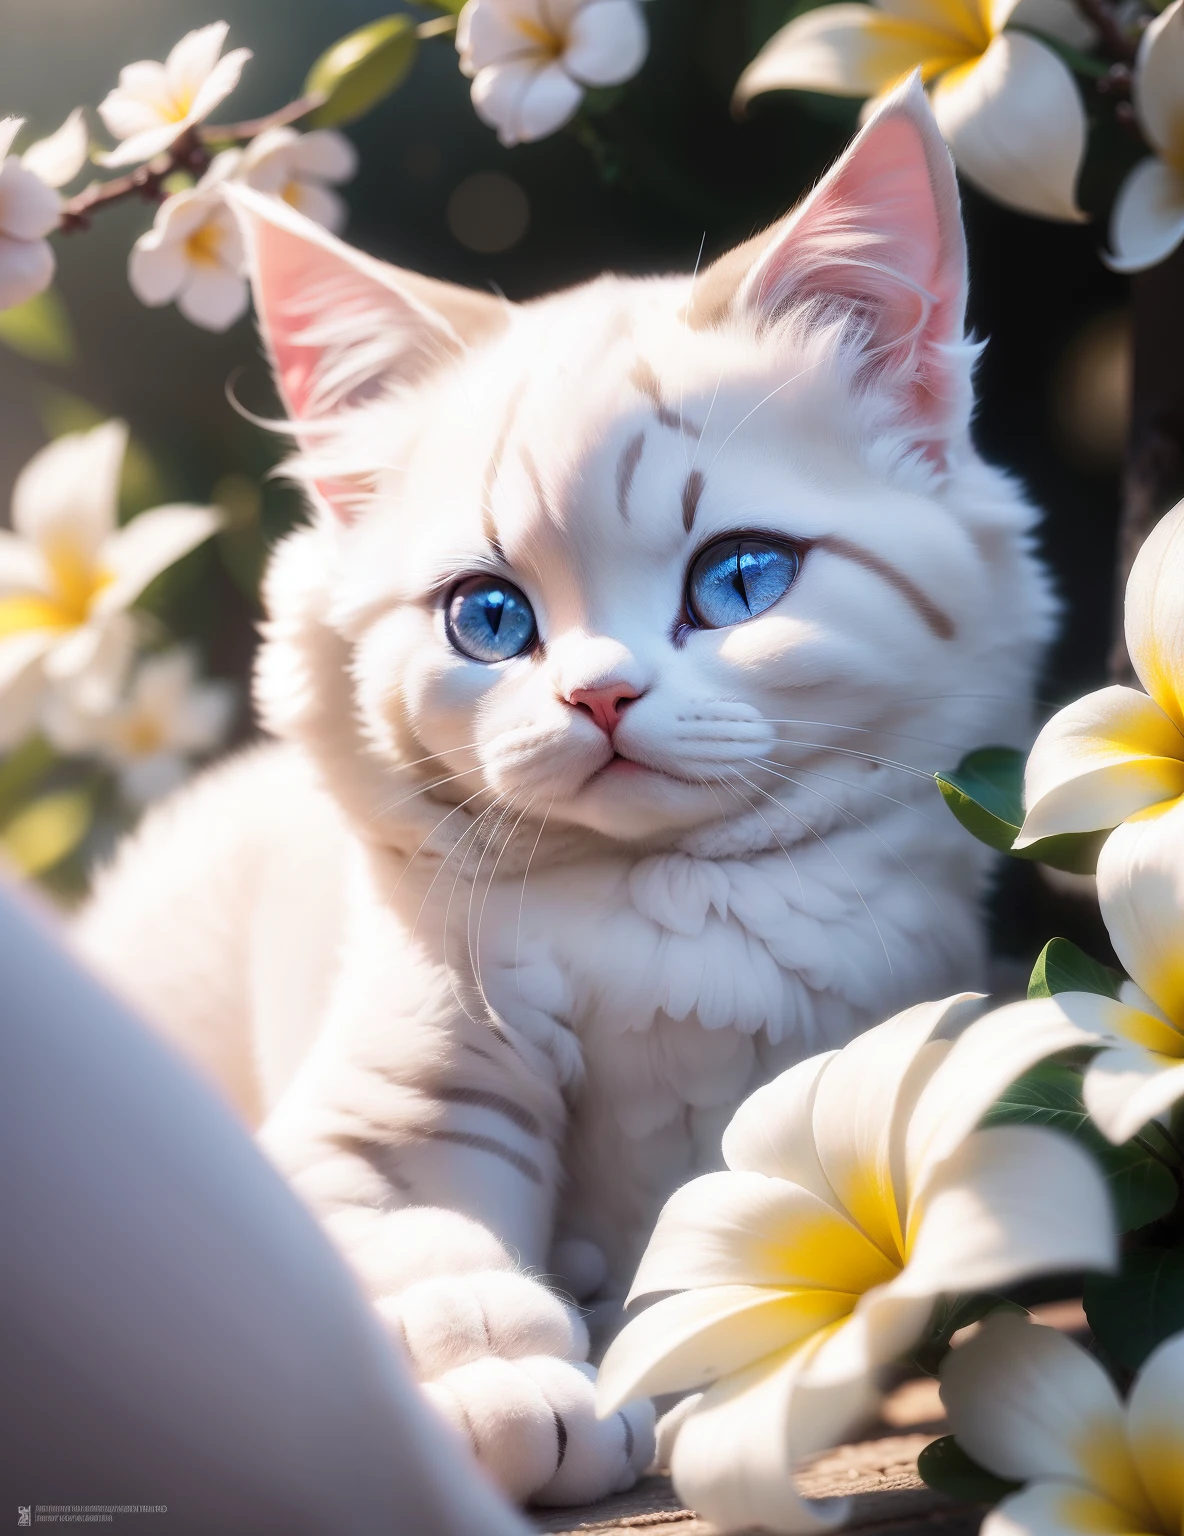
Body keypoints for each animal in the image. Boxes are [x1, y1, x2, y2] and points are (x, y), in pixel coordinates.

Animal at [76, 77, 1056, 1505]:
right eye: (489, 618)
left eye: (739, 579)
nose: (598, 697)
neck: (665, 905)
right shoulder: (381, 1118)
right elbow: (433, 1257)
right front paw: (511, 1386)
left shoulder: (835, 1106)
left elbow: (717, 1290)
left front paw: (634, 1357)